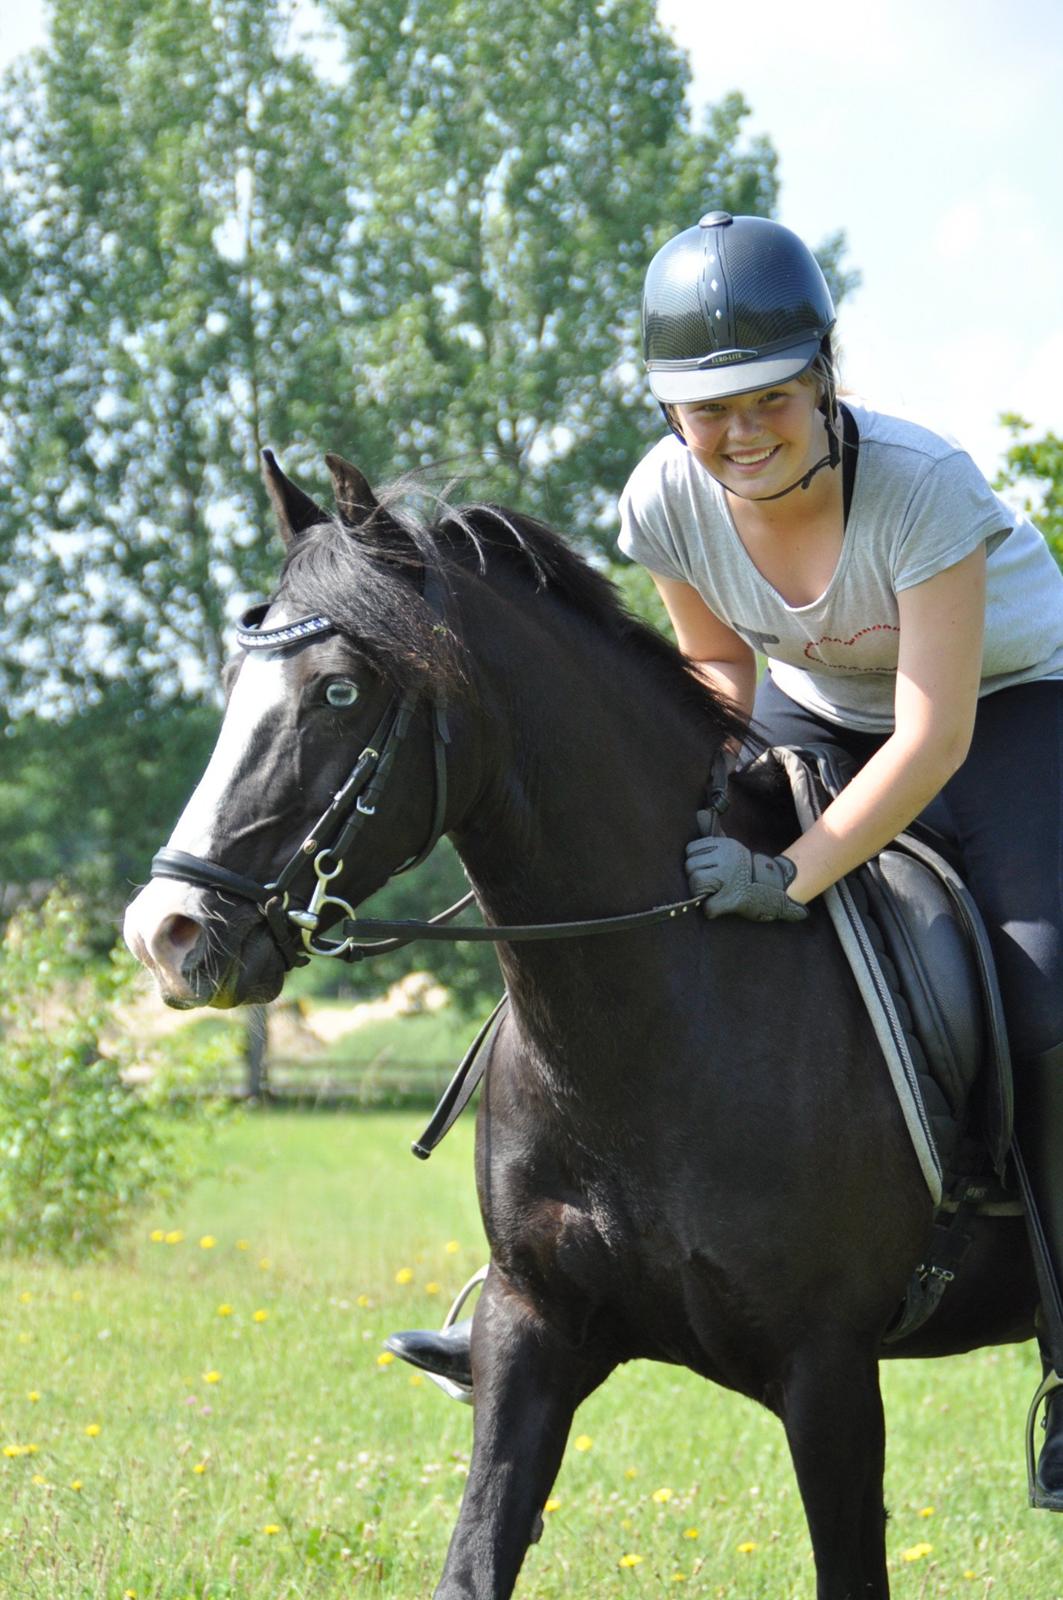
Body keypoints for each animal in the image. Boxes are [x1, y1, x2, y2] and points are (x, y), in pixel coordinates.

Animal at [124, 449, 1042, 1600]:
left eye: (340, 689)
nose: (167, 932)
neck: (656, 1025)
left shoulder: (827, 1372)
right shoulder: (533, 1333)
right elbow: (474, 1559)